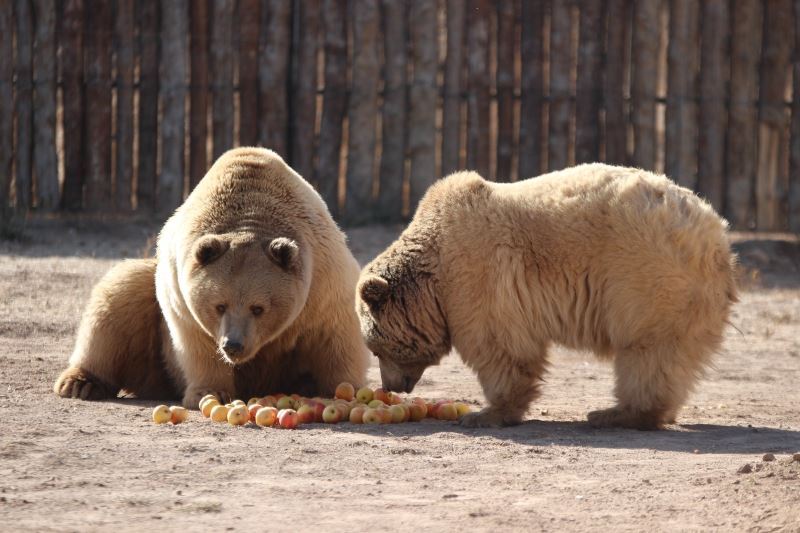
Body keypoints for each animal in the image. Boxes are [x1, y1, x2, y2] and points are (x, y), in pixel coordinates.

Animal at [54, 148, 370, 406]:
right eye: (219, 305)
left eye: (258, 308)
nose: (233, 345)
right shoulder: (180, 293)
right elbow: (196, 342)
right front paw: (211, 392)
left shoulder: (322, 283)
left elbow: (337, 336)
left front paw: (346, 389)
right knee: (120, 294)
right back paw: (80, 382)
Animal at [356, 164, 736, 430]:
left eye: (376, 348)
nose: (393, 386)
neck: (433, 273)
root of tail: (716, 235)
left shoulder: (476, 275)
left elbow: (499, 346)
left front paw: (485, 414)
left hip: (646, 276)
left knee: (647, 352)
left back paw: (613, 414)